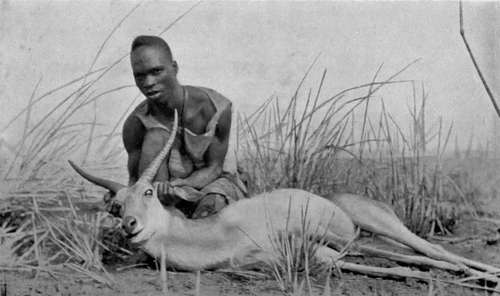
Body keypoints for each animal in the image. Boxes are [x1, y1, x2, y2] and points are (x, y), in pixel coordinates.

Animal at [68, 110, 498, 292]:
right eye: (115, 206)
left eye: (148, 193)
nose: (131, 225)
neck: (216, 235)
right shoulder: (310, 256)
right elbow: (398, 268)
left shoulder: (314, 248)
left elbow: (407, 269)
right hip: (362, 240)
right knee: (416, 256)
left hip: (376, 229)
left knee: (434, 252)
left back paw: (481, 272)